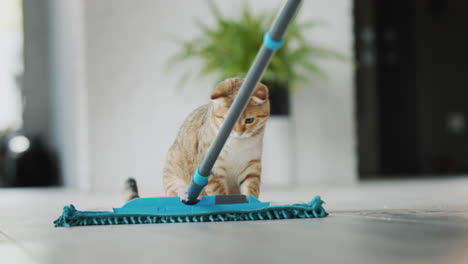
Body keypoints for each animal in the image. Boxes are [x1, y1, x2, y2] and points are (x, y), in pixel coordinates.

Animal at [124, 77, 270, 201]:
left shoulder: (252, 165)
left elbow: (251, 189)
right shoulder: (213, 170)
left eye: (249, 120)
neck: (237, 145)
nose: (239, 133)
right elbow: (219, 193)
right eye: (227, 120)